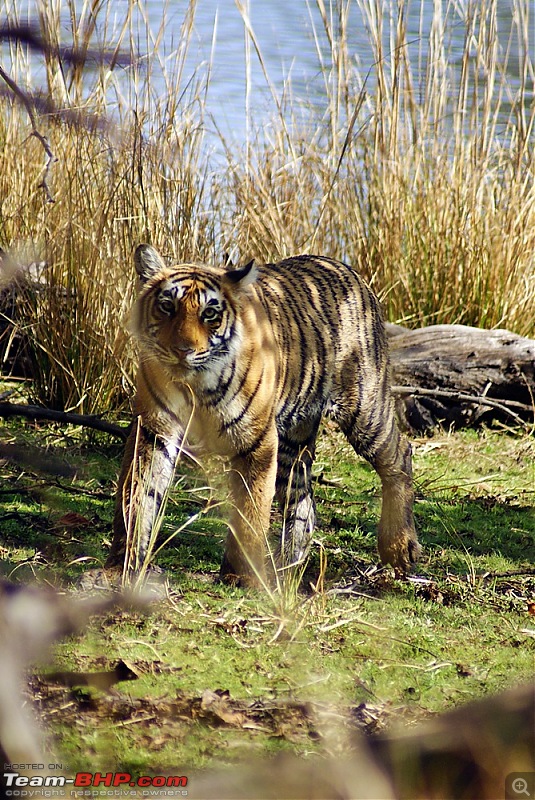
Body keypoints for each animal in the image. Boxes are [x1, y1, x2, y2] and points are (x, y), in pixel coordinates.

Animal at [107, 244, 420, 588]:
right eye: (167, 306)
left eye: (209, 314)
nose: (182, 350)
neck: (196, 385)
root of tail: (346, 268)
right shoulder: (154, 431)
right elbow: (136, 496)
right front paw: (122, 564)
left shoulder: (257, 442)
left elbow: (250, 510)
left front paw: (240, 576)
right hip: (293, 440)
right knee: (302, 500)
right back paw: (286, 568)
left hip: (364, 408)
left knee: (400, 455)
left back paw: (400, 547)